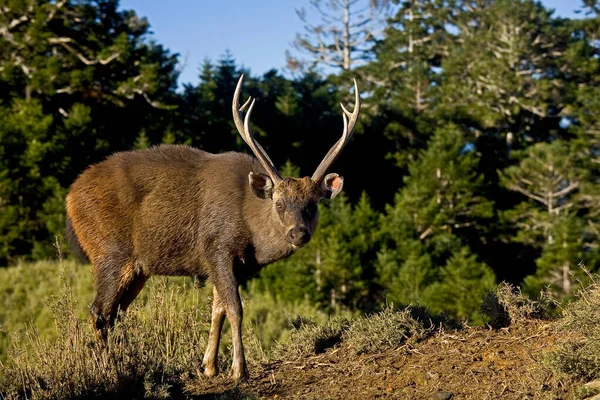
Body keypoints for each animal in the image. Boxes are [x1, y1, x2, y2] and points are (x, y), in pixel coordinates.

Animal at [68, 74, 364, 378]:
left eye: (313, 205)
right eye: (279, 203)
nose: (298, 233)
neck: (252, 234)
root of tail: (70, 197)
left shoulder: (235, 264)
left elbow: (217, 310)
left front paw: (209, 365)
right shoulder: (218, 248)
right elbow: (235, 308)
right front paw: (239, 369)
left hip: (138, 268)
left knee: (116, 313)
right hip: (110, 252)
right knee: (99, 311)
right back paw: (109, 369)